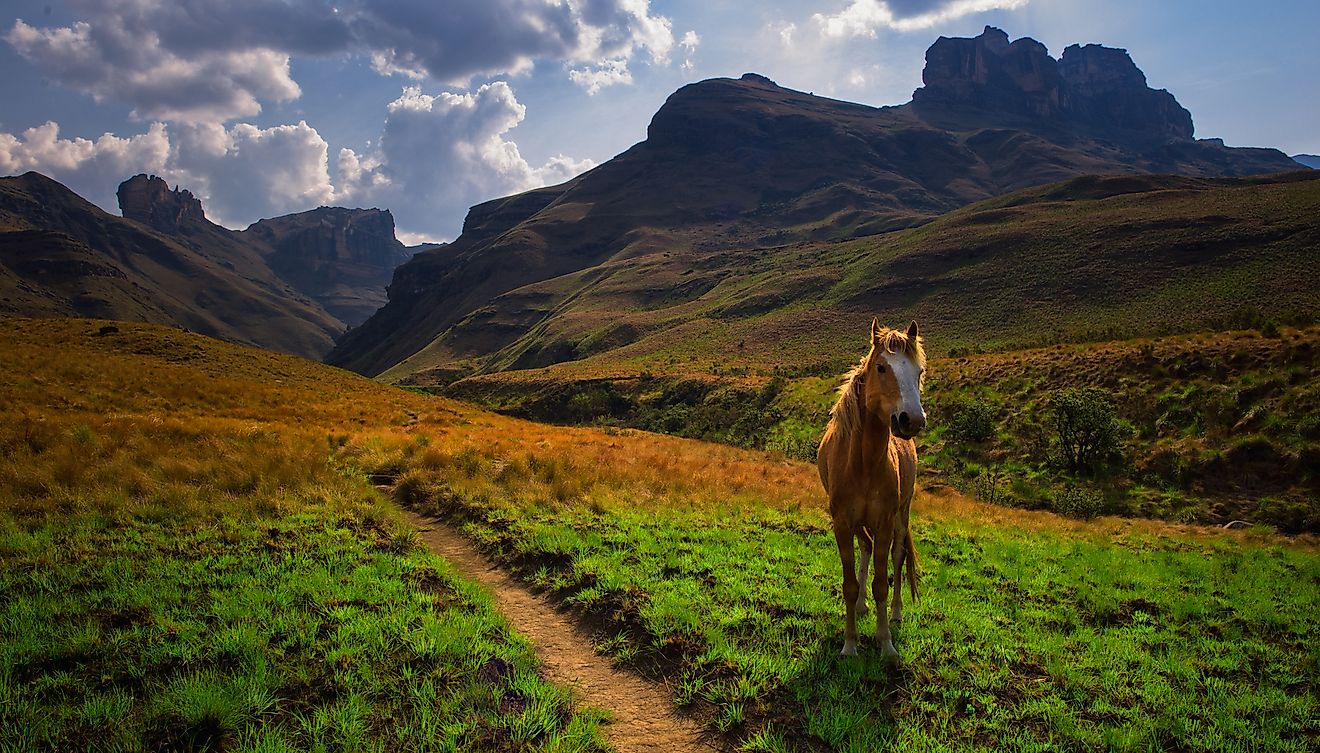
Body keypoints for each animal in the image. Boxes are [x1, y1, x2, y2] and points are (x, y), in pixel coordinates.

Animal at [813, 317, 929, 655]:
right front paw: (850, 643)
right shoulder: (842, 523)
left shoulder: (884, 522)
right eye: (881, 367)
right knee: (865, 547)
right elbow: (850, 585)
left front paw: (885, 643)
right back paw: (864, 607)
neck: (863, 463)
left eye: (919, 371)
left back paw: (896, 614)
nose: (912, 420)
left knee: (898, 557)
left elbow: (881, 583)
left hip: (902, 513)